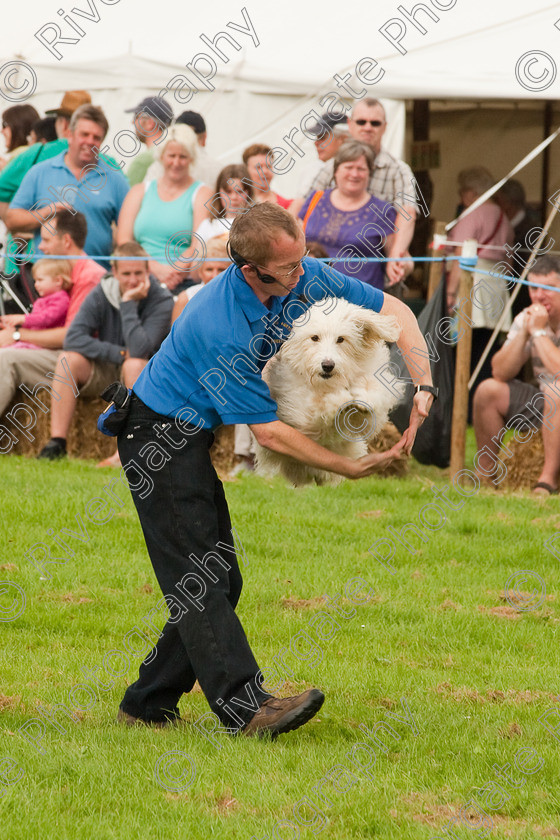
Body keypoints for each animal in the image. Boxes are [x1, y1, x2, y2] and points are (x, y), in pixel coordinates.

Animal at [254, 300, 402, 486]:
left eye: (341, 339)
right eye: (315, 338)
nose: (327, 365)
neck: (330, 383)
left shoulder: (374, 380)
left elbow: (373, 390)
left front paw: (364, 400)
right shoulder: (298, 408)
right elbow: (319, 404)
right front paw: (340, 400)